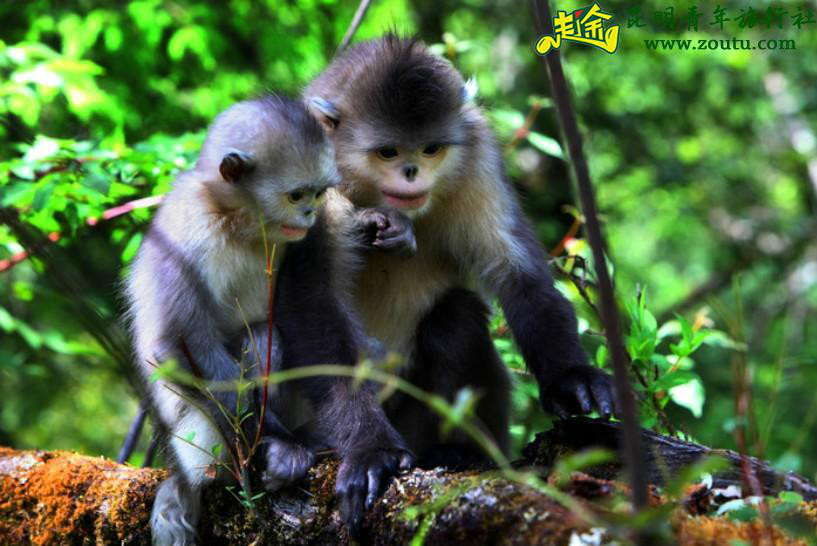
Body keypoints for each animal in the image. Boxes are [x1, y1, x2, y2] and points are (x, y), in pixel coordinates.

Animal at [125, 95, 412, 544]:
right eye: (296, 195)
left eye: (317, 193)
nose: (309, 212)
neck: (237, 224)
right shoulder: (184, 227)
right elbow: (174, 344)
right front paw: (279, 448)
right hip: (200, 440)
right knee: (262, 337)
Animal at [302, 34, 616, 528]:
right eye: (388, 152)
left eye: (431, 149)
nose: (412, 172)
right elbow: (317, 306)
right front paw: (371, 450)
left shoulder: (477, 156)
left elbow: (517, 274)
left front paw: (572, 378)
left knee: (456, 315)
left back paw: (455, 451)